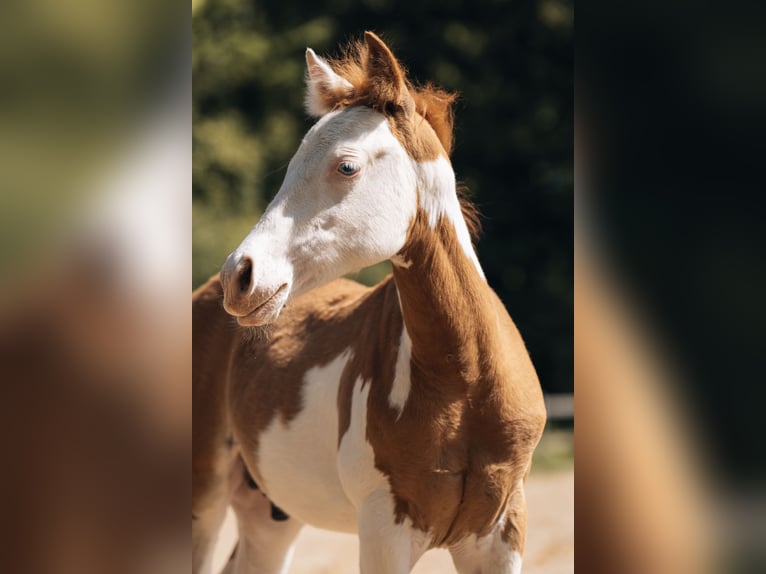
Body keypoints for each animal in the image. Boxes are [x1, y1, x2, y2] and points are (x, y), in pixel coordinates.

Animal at [195, 32, 548, 574]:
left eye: (347, 166)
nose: (240, 276)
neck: (466, 383)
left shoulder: (502, 532)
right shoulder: (385, 529)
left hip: (271, 516)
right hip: (205, 499)